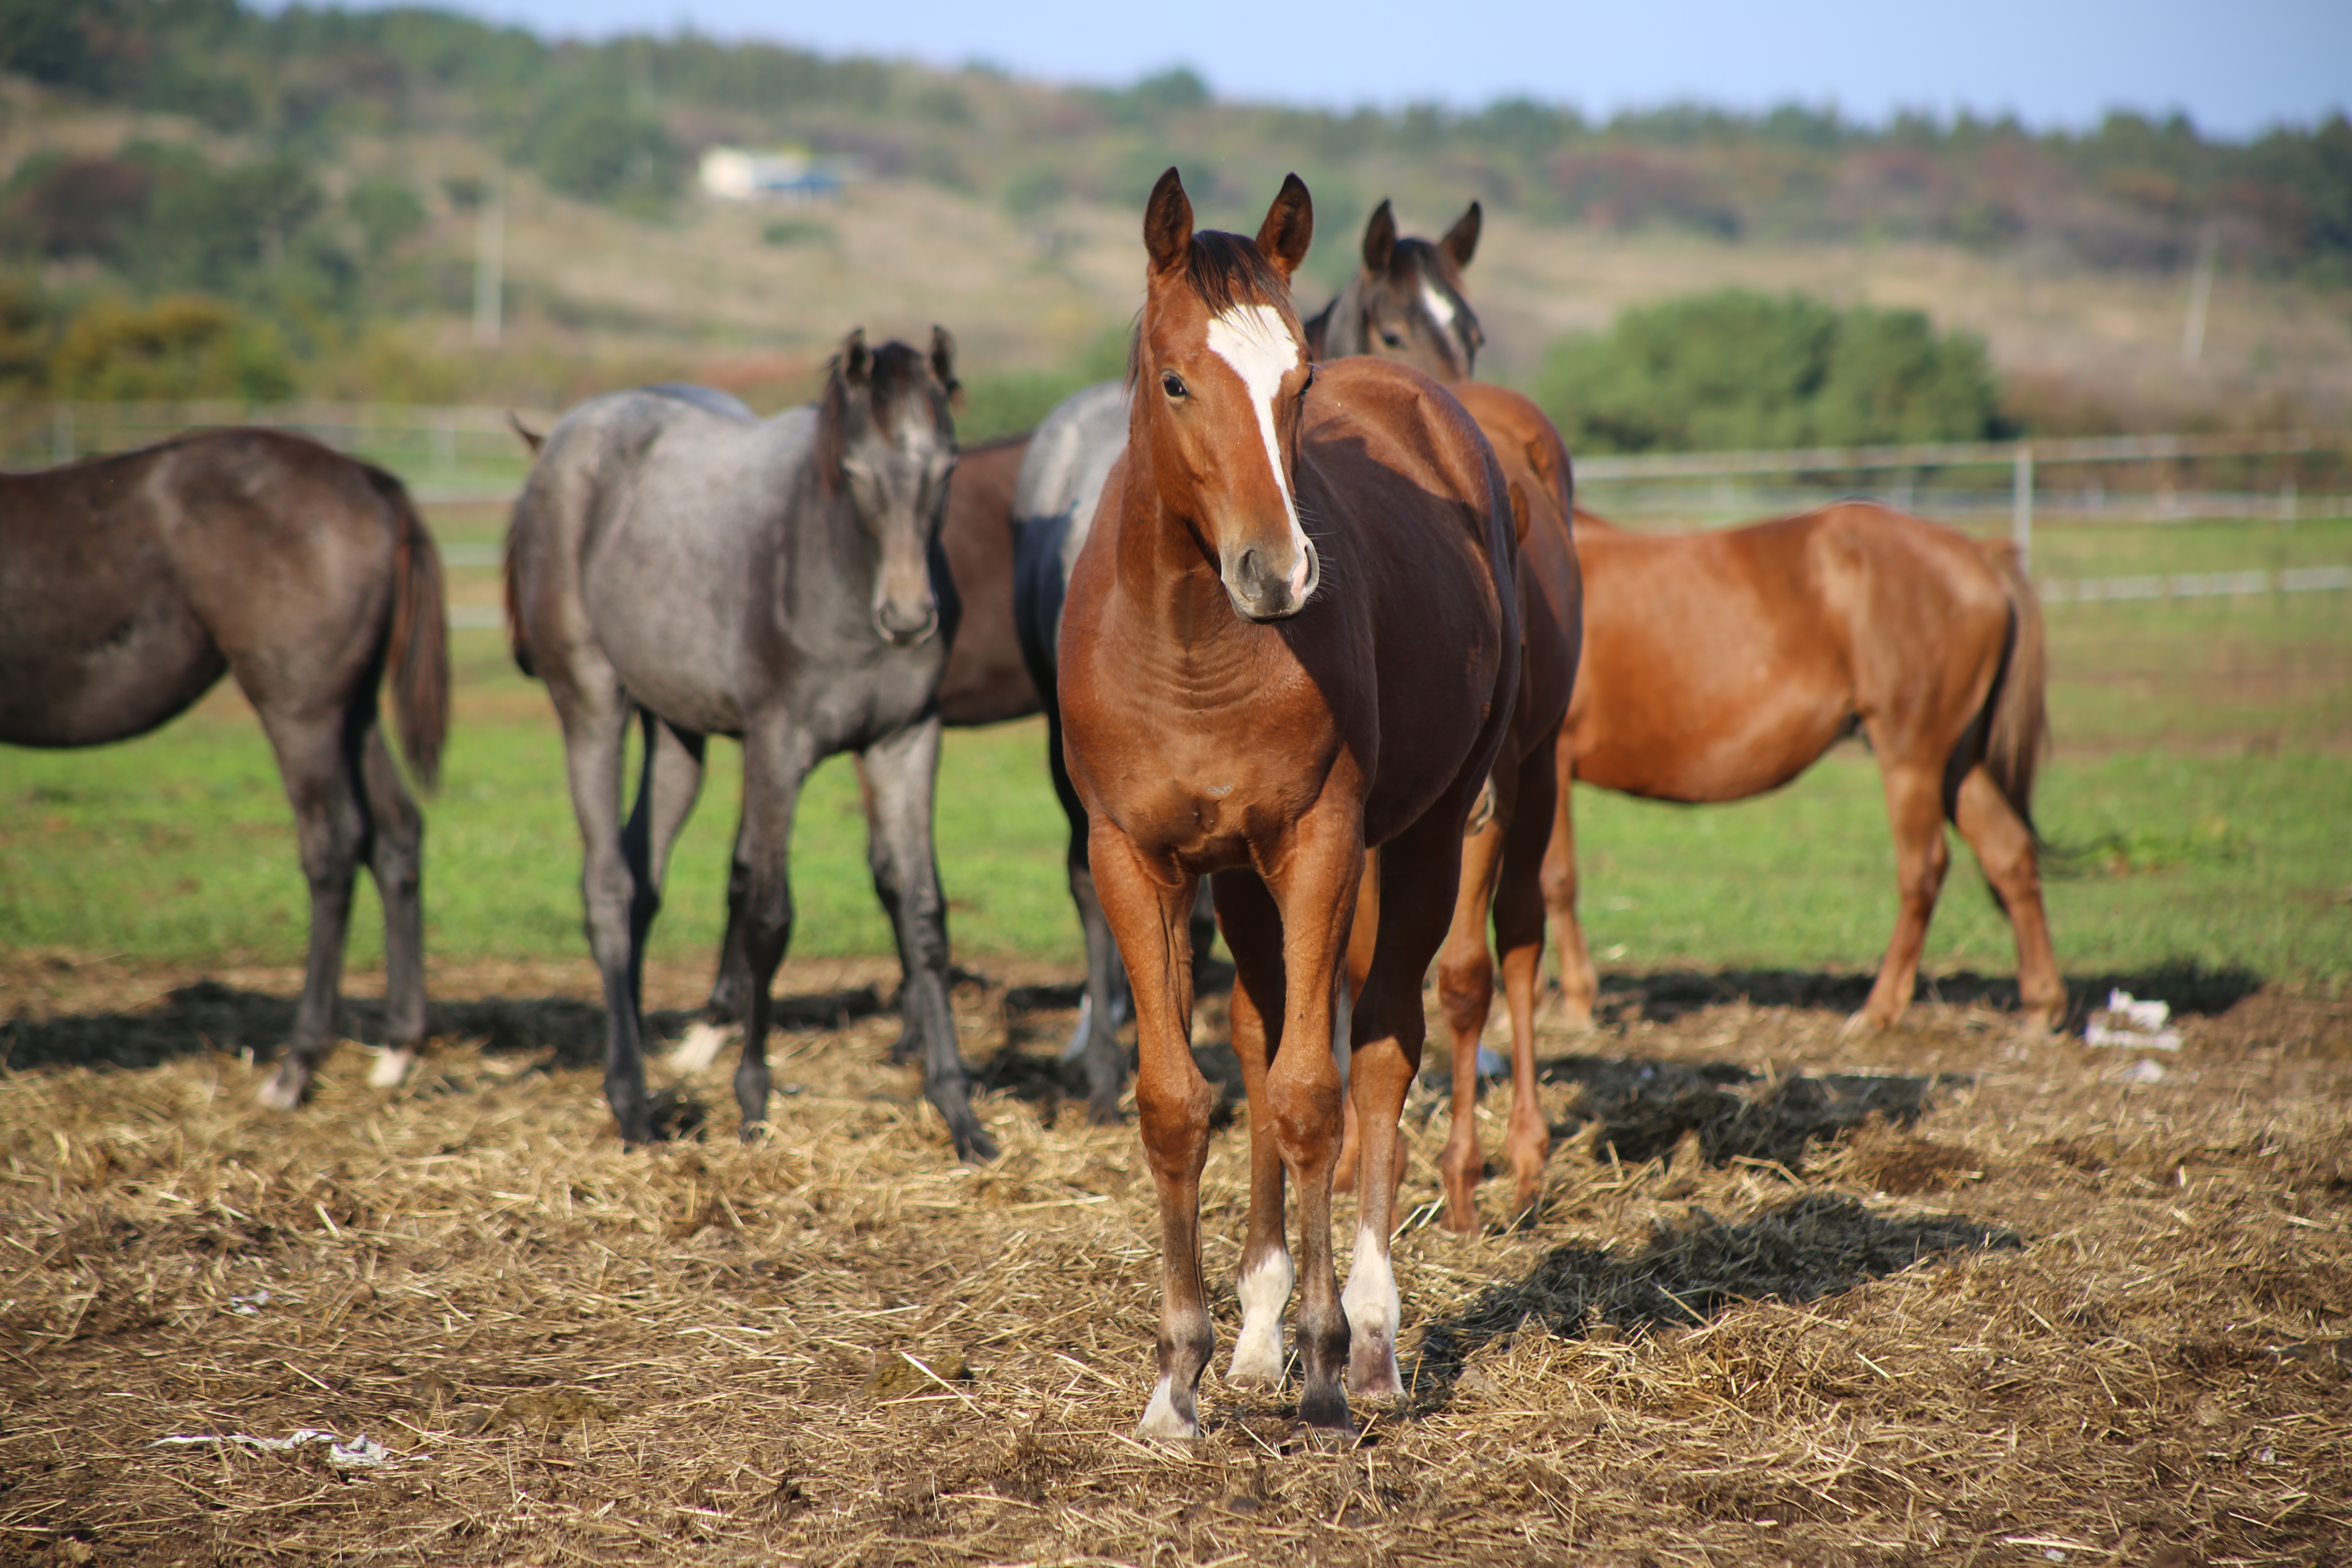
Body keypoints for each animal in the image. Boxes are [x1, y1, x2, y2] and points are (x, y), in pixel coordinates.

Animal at [510, 324, 997, 1161]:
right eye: (855, 471)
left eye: (947, 466)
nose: (908, 619)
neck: (833, 564)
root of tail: (568, 436)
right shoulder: (778, 747)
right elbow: (769, 920)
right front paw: (753, 1106)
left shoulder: (905, 744)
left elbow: (924, 917)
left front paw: (960, 1115)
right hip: (592, 704)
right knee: (608, 888)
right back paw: (632, 1105)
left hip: (677, 734)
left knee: (642, 881)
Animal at [1058, 175, 1515, 1448]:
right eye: (1175, 381)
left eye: (1298, 380)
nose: (1278, 572)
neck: (1191, 644)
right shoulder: (1136, 858)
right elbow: (1181, 1101)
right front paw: (1179, 1380)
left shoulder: (1317, 844)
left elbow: (1317, 1093)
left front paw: (1319, 1365)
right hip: (1240, 879)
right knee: (1262, 1043)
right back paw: (1259, 1335)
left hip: (1426, 838)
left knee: (1380, 1053)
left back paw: (1368, 1342)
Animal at [1561, 503, 2060, 1034]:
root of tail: (1980, 556)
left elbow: (1556, 880)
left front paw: (1575, 1006)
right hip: (1955, 764)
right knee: (2009, 853)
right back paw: (2040, 1008)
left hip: (1912, 759)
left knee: (1923, 869)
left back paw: (1879, 1009)